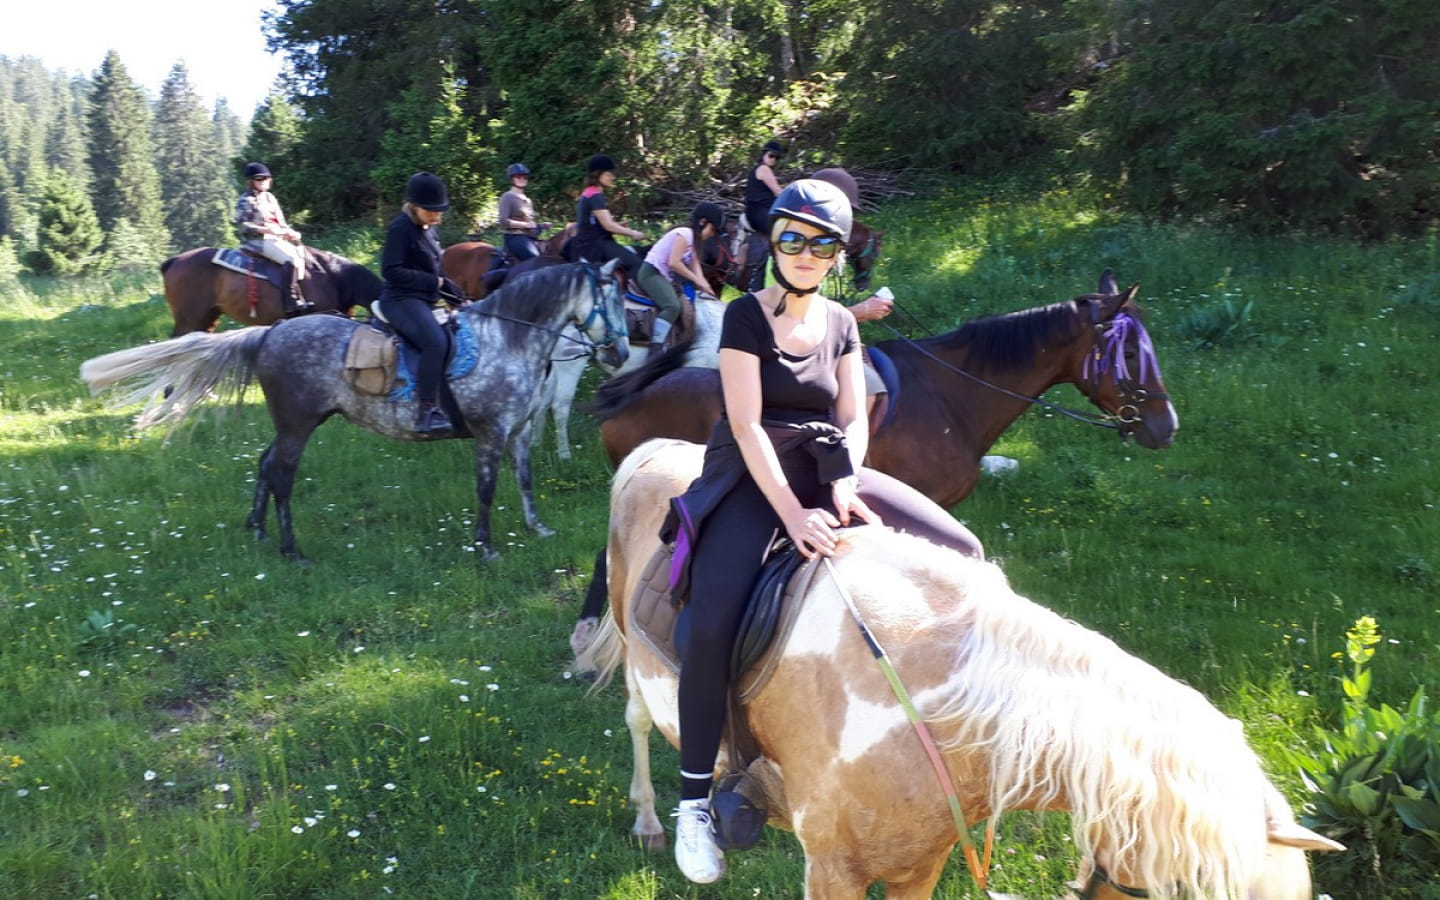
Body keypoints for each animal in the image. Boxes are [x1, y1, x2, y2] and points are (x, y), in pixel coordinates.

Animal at [81, 257, 627, 561]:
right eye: (615, 302)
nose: (620, 353)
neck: (507, 338)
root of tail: (270, 333)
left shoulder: (518, 431)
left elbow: (526, 480)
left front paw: (538, 528)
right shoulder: (491, 433)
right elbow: (487, 490)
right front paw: (486, 547)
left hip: (291, 422)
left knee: (264, 463)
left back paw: (257, 531)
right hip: (299, 424)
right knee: (281, 474)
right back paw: (292, 550)